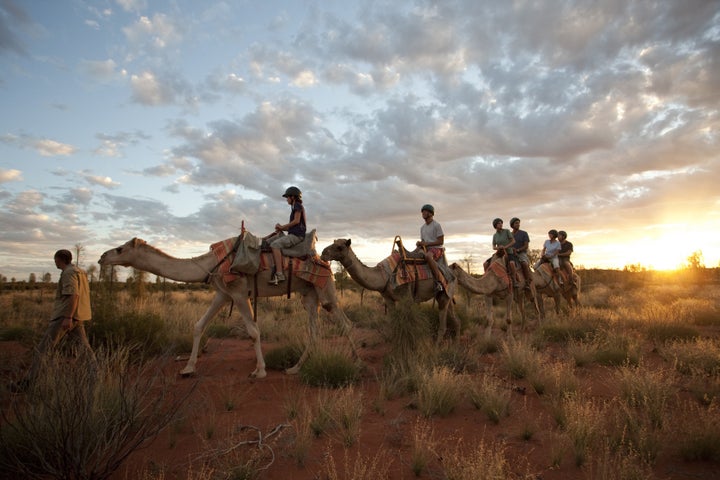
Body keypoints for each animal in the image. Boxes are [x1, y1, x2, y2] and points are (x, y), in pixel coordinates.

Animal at [98, 238, 358, 376]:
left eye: (120, 249)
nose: (102, 257)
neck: (211, 263)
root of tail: (324, 261)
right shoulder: (223, 293)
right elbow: (199, 325)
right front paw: (188, 368)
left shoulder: (239, 292)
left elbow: (253, 331)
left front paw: (260, 370)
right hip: (309, 294)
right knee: (315, 331)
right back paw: (294, 368)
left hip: (326, 289)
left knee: (346, 324)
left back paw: (357, 362)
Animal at [322, 238, 462, 344]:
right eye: (334, 242)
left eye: (340, 247)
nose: (323, 253)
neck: (383, 276)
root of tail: (451, 271)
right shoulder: (388, 298)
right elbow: (394, 321)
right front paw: (395, 341)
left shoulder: (407, 298)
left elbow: (408, 323)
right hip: (446, 294)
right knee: (453, 316)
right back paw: (456, 341)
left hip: (445, 292)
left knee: (443, 321)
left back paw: (438, 345)